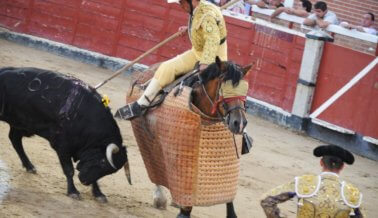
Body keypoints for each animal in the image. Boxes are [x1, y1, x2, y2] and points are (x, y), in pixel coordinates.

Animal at [0, 67, 129, 203]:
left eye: (110, 171)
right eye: (103, 162)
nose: (84, 181)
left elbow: (94, 177)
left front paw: (98, 193)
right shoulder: (62, 147)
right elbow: (69, 170)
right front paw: (73, 192)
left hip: (21, 125)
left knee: (15, 139)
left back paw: (29, 166)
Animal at [126, 57, 251, 217]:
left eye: (244, 91)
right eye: (224, 88)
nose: (239, 123)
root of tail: (146, 71)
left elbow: (227, 195)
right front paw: (184, 211)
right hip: (145, 136)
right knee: (153, 164)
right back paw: (161, 198)